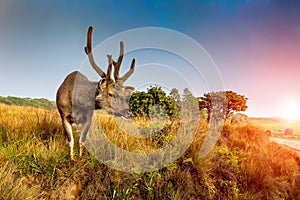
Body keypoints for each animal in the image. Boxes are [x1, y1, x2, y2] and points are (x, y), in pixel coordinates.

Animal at [56, 26, 135, 160]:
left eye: (125, 95)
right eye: (111, 93)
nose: (128, 112)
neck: (76, 102)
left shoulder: (89, 117)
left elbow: (82, 140)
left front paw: (81, 158)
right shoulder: (64, 115)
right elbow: (71, 141)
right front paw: (72, 158)